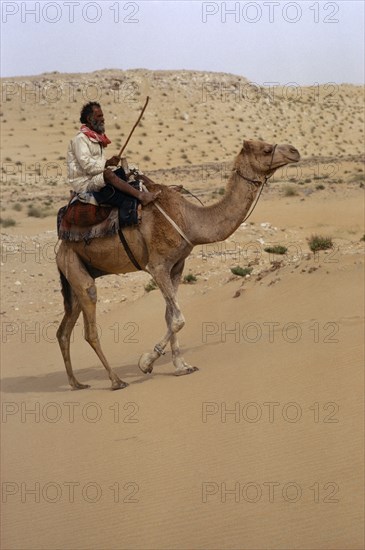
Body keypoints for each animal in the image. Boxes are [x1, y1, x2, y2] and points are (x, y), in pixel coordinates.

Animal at [54, 142, 298, 392]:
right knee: (90, 327)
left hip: (76, 274)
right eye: (266, 149)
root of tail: (60, 246)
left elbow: (170, 317)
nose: (294, 151)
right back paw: (116, 380)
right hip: (76, 267)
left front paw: (182, 367)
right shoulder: (157, 266)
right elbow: (179, 319)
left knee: (64, 330)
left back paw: (76, 383)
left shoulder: (177, 266)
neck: (190, 221)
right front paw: (146, 362)